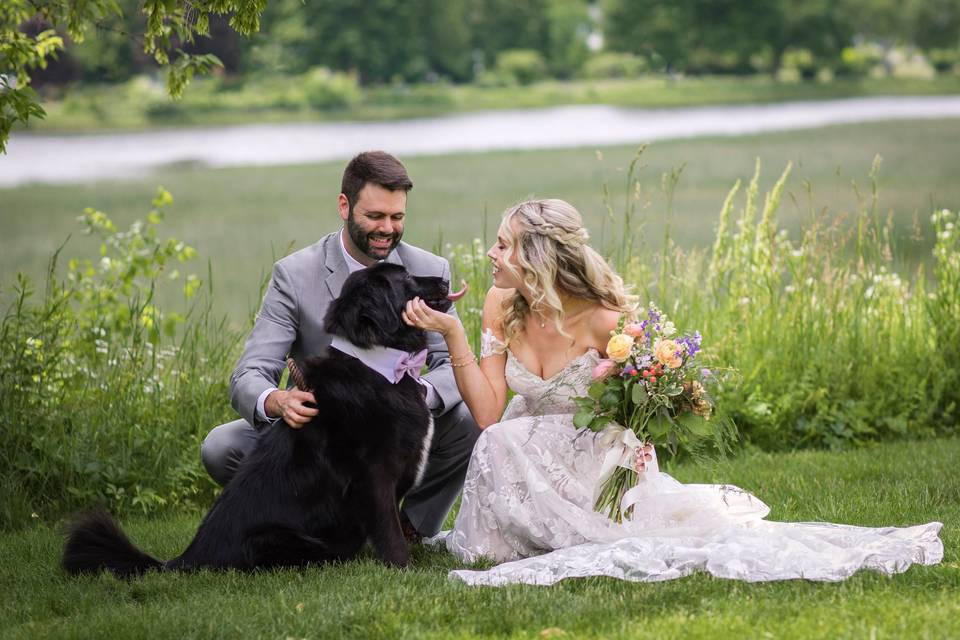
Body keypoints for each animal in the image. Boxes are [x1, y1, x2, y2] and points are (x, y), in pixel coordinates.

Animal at [63, 260, 462, 576]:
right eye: (406, 278)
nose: (445, 278)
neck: (377, 365)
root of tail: (185, 559)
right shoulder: (374, 475)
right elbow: (389, 530)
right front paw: (402, 568)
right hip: (279, 539)